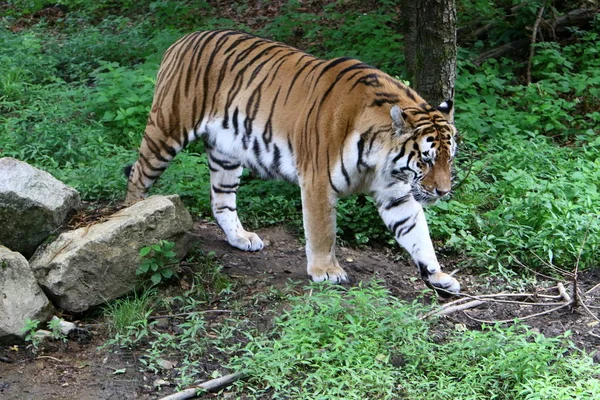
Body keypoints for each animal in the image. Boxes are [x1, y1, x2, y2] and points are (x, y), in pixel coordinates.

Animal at [125, 28, 460, 296]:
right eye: (426, 159)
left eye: (449, 158)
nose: (444, 192)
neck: (380, 159)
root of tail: (182, 40)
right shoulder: (317, 182)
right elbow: (322, 231)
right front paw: (327, 271)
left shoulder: (396, 193)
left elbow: (418, 234)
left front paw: (438, 276)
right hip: (166, 130)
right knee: (137, 176)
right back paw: (138, 223)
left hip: (226, 155)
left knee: (221, 201)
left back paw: (240, 238)